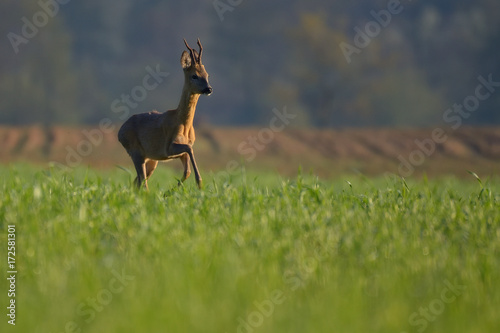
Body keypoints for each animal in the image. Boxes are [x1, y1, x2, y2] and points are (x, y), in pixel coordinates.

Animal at [118, 37, 213, 188]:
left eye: (207, 75)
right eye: (194, 76)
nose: (208, 89)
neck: (184, 124)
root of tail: (120, 132)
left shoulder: (180, 152)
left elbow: (187, 171)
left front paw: (173, 190)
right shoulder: (169, 147)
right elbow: (190, 150)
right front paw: (199, 183)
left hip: (151, 159)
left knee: (137, 181)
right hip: (135, 151)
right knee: (142, 180)